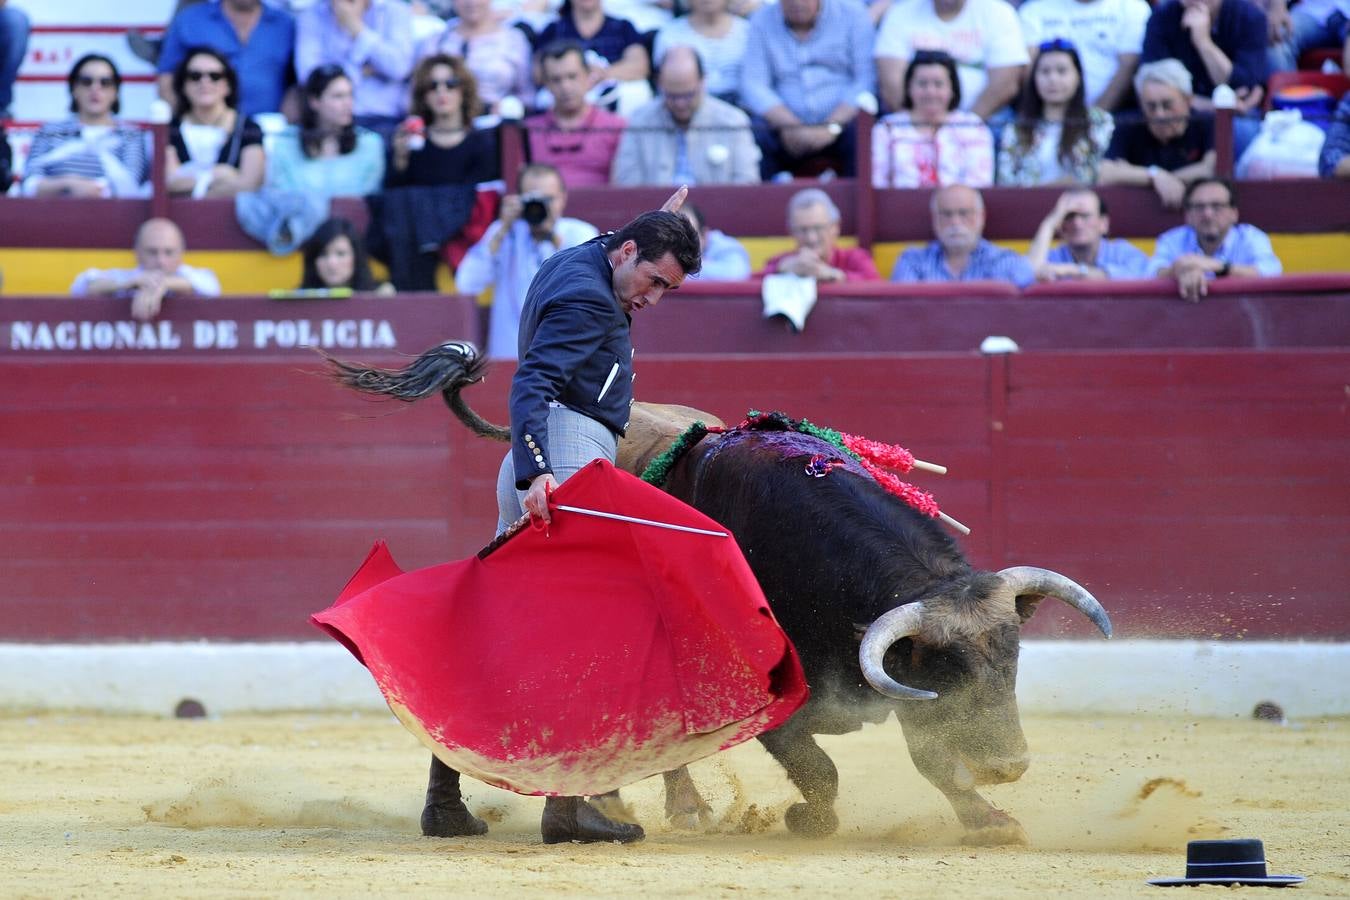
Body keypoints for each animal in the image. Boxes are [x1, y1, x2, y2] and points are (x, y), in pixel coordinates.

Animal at [324, 345, 1107, 847]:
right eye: (946, 665)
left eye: (1012, 658)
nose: (1010, 767)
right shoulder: (774, 695)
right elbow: (818, 770)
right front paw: (803, 822)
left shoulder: (898, 686)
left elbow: (932, 758)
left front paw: (991, 822)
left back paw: (670, 807)